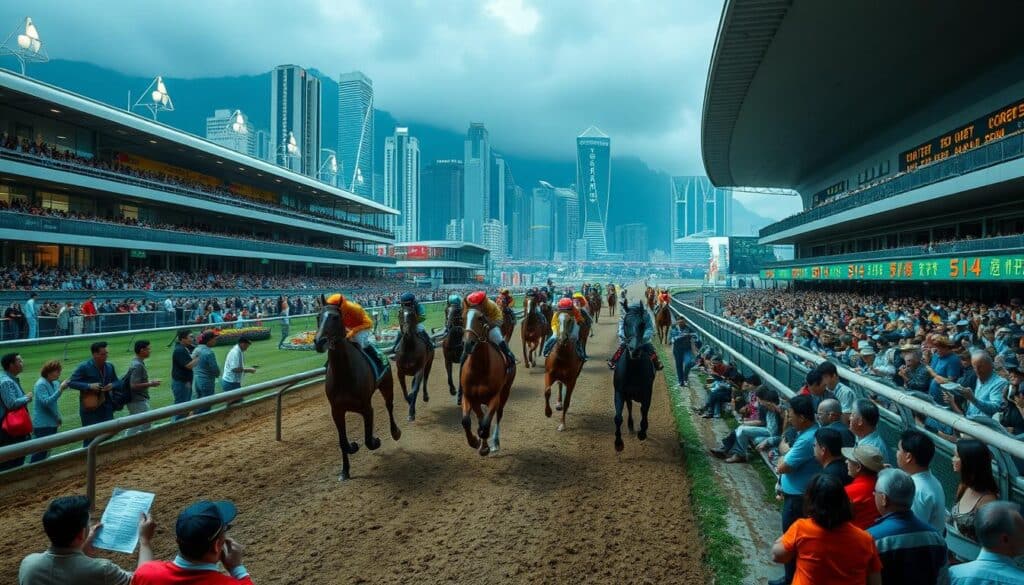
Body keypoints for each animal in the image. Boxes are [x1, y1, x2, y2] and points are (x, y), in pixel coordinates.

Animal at [313, 297, 401, 481]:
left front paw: (375, 441)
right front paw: (345, 469)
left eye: (335, 317)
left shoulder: (367, 408)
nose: (319, 342)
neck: (344, 375)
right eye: (318, 316)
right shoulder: (337, 411)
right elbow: (343, 442)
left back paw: (395, 431)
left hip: (387, 385)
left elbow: (368, 439)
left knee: (389, 406)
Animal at [460, 307, 516, 456]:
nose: (468, 344)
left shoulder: (494, 397)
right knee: (481, 417)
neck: (480, 369)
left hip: (505, 393)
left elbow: (485, 424)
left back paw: (495, 442)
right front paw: (475, 441)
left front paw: (484, 445)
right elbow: (467, 421)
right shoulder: (469, 396)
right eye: (463, 318)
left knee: (498, 415)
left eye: (480, 318)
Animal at [614, 307, 655, 452]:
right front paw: (618, 443)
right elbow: (618, 417)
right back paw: (630, 425)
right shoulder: (620, 391)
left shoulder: (647, 392)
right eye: (625, 323)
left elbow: (644, 410)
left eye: (642, 324)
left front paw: (642, 432)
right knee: (630, 406)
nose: (634, 350)